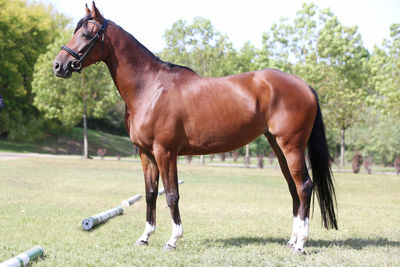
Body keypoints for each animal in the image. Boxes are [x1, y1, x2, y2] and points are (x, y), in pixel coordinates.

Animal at [53, 2, 338, 255]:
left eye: (86, 34)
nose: (58, 65)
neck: (150, 87)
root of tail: (305, 86)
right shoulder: (146, 154)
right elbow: (150, 194)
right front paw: (145, 237)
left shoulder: (165, 152)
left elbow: (171, 195)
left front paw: (172, 240)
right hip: (278, 147)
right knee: (293, 188)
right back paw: (292, 240)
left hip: (292, 147)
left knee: (304, 187)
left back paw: (301, 244)